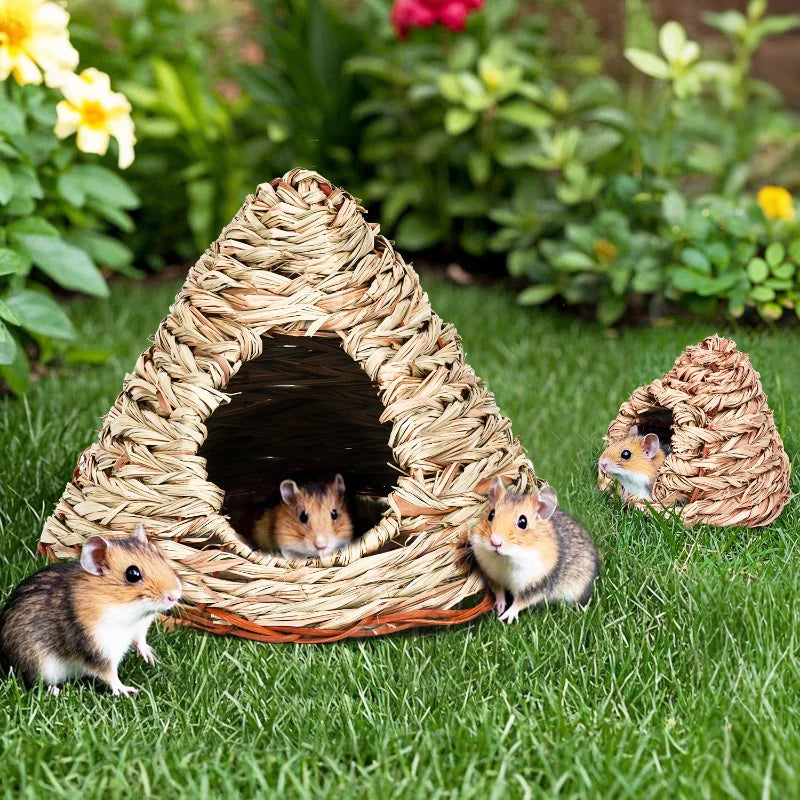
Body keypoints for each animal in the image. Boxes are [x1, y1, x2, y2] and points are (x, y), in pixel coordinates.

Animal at [0, 524, 181, 696]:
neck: (126, 611)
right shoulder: (98, 649)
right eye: (132, 574)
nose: (175, 595)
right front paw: (127, 690)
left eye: (161, 556)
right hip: (37, 665)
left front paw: (151, 658)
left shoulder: (138, 629)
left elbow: (140, 641)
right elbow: (110, 675)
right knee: (34, 684)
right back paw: (57, 691)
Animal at [469, 478, 599, 624]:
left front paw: (505, 618)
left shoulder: (536, 586)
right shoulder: (493, 576)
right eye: (491, 515)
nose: (495, 542)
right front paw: (499, 608)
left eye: (523, 522)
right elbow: (499, 592)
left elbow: (519, 603)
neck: (507, 558)